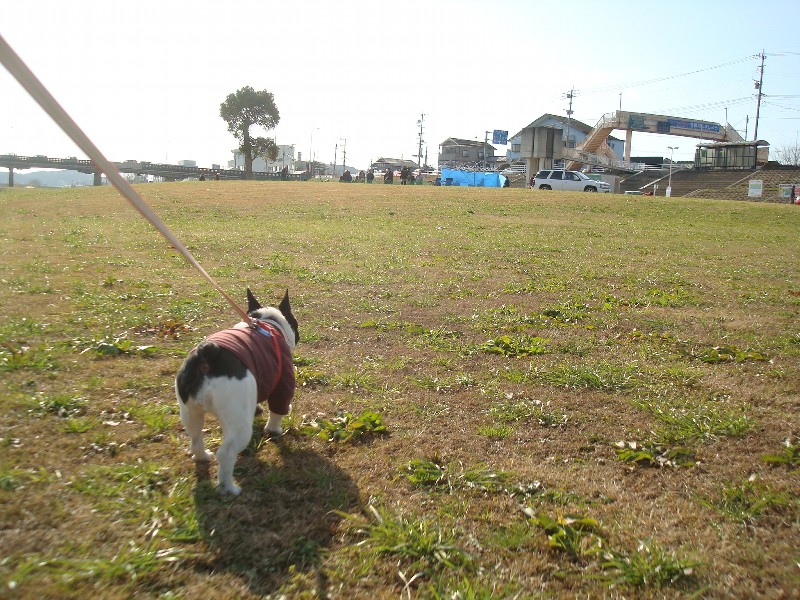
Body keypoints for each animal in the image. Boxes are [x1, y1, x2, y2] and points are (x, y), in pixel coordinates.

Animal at [177, 288, 298, 494]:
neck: (267, 323)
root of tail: (206, 355)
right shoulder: (283, 379)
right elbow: (278, 409)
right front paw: (274, 429)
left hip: (190, 412)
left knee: (195, 436)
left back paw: (202, 456)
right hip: (239, 423)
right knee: (226, 453)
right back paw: (229, 489)